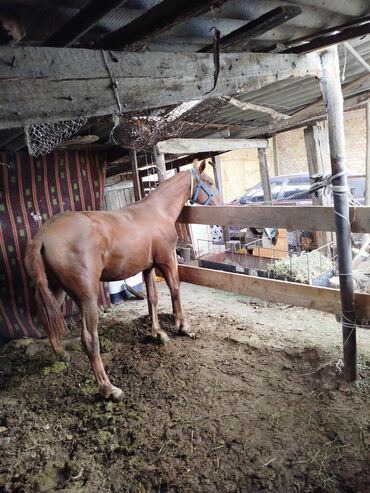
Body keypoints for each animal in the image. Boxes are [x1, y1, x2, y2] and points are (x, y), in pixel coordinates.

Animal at [25, 161, 220, 400]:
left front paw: (158, 333)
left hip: (55, 290)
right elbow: (175, 289)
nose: (220, 203)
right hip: (87, 298)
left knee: (47, 321)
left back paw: (61, 354)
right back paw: (109, 389)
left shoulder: (147, 267)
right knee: (89, 339)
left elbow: (152, 299)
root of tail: (42, 237)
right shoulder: (167, 260)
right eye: (208, 182)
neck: (157, 212)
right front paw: (183, 326)